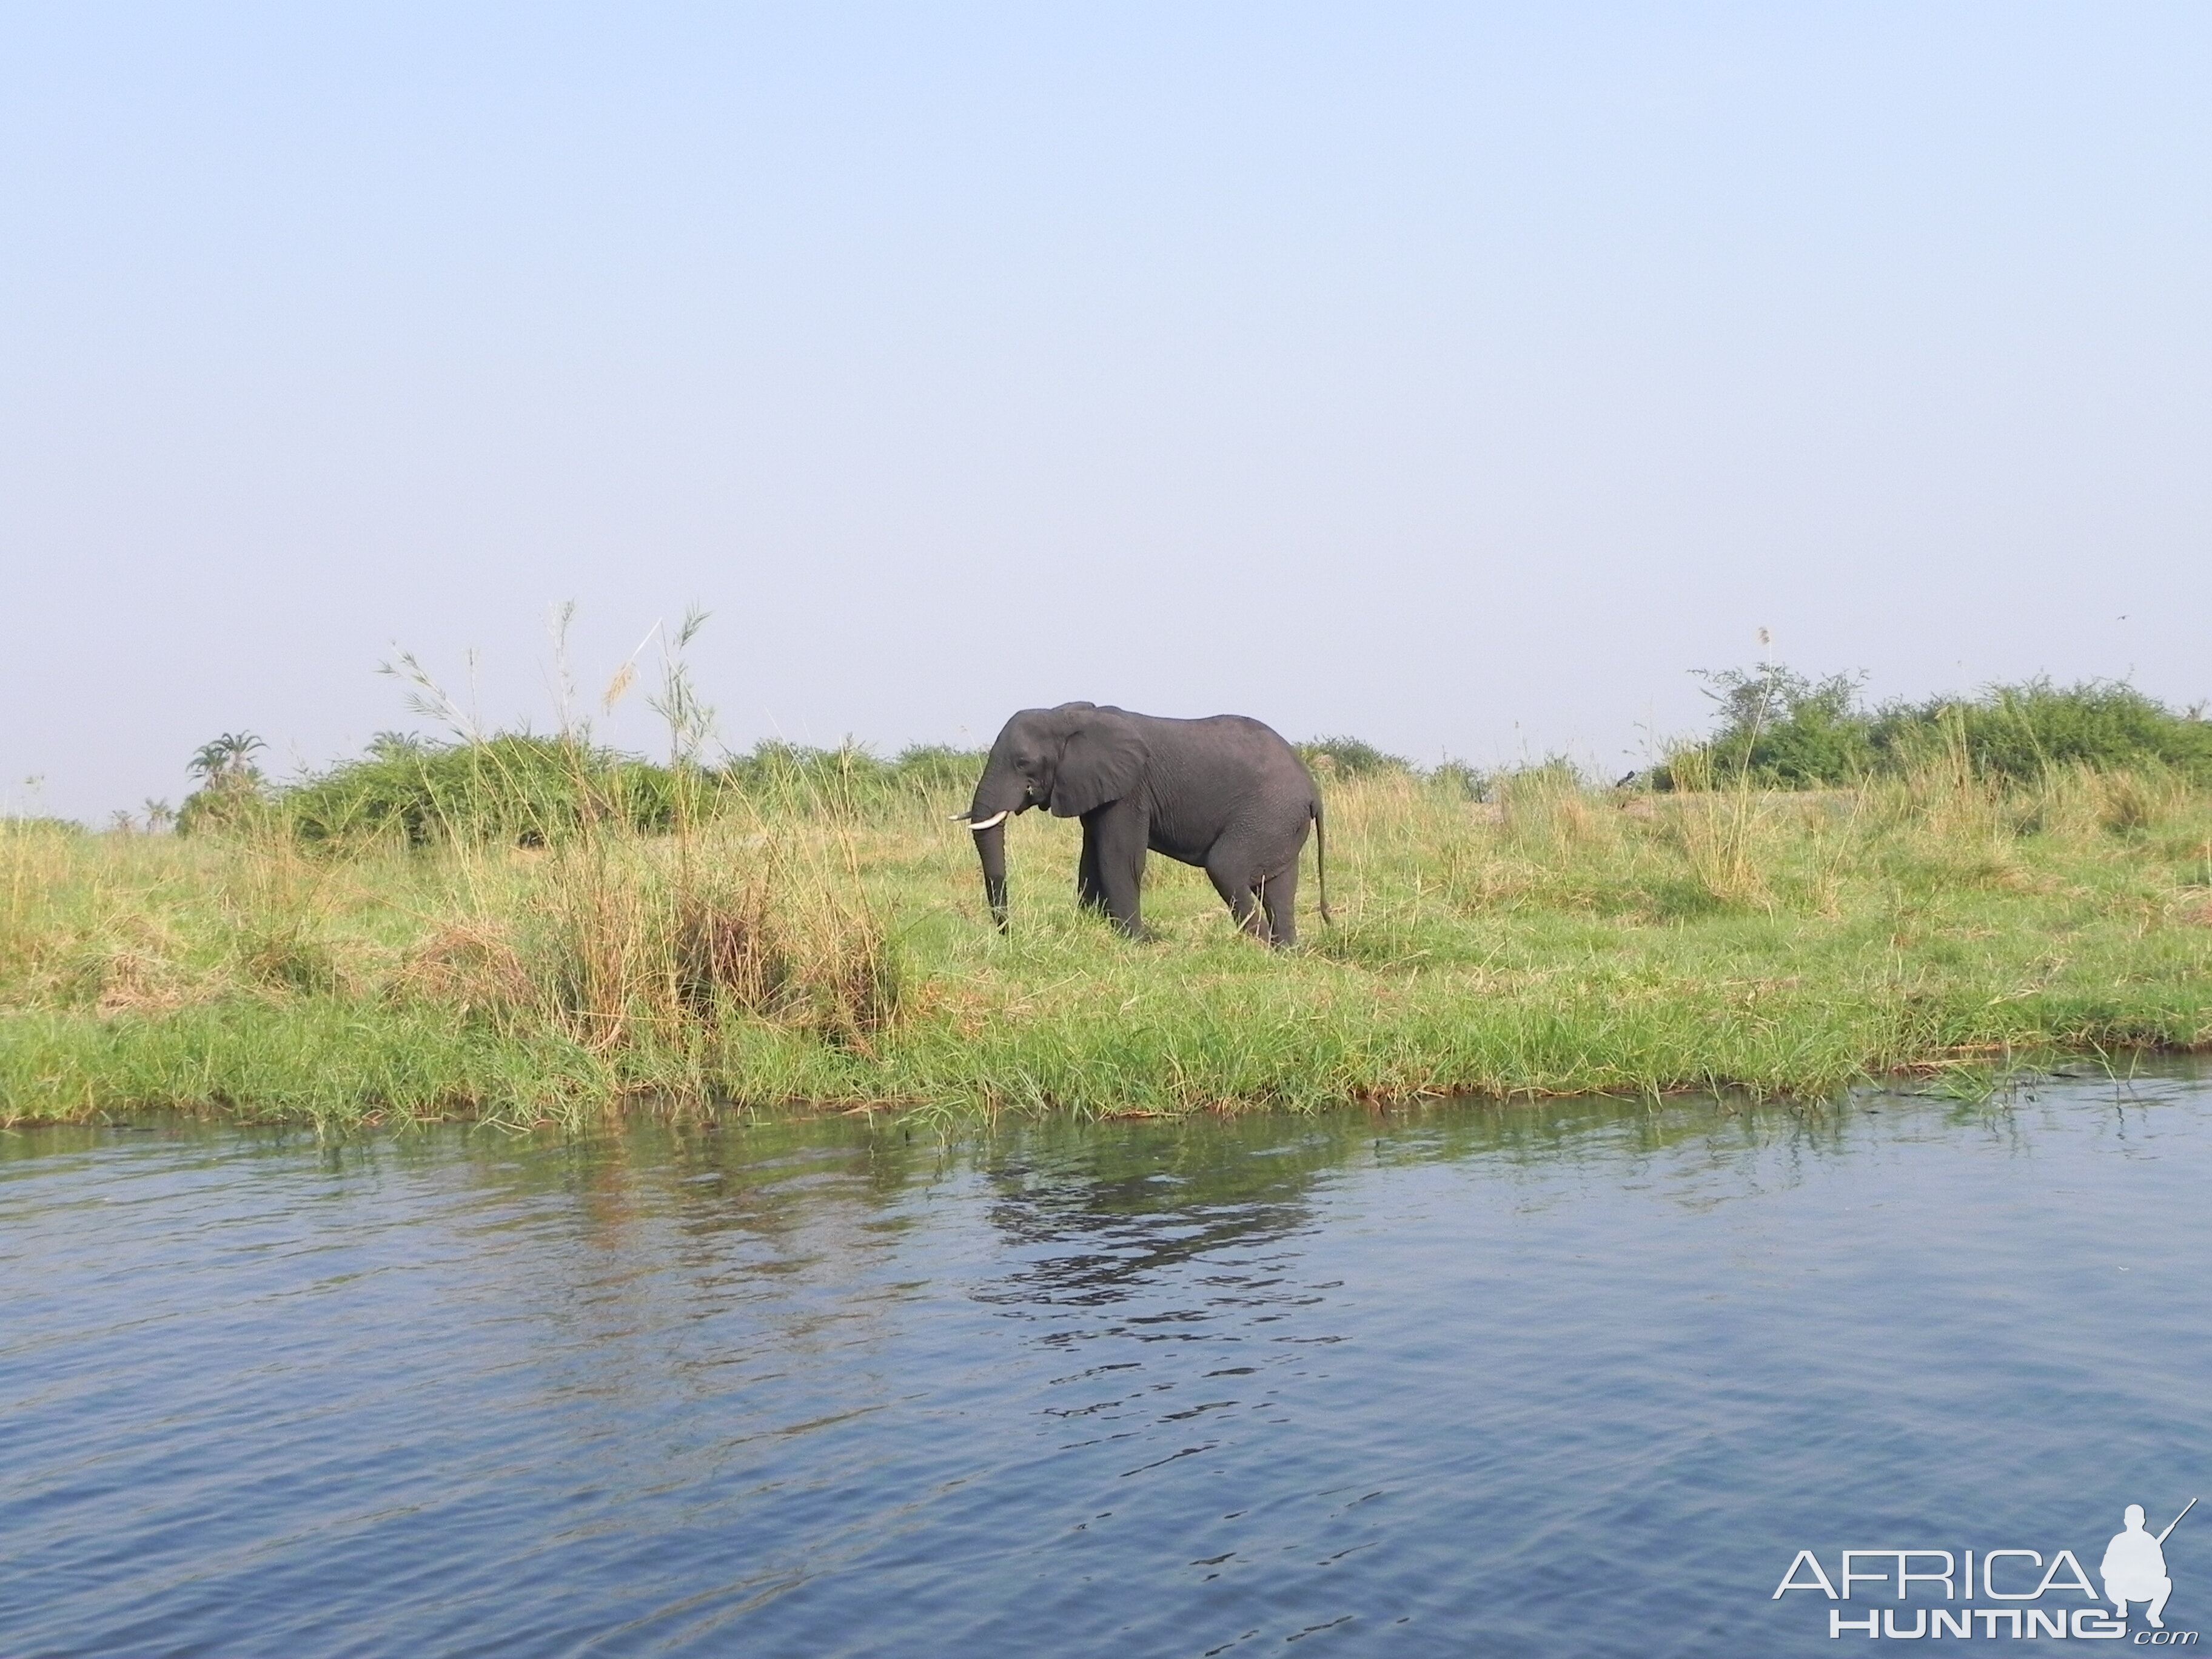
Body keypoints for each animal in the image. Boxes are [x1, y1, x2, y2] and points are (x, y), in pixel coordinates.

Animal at [955, 703, 1327, 947]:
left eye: (1023, 763)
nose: (1009, 934)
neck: (1066, 714)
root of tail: (1313, 791)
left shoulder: (1130, 791)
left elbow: (1119, 857)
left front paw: (1135, 942)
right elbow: (1091, 858)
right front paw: (1092, 926)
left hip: (1268, 814)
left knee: (1227, 867)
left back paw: (1259, 947)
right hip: (1280, 822)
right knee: (1278, 888)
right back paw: (1285, 951)